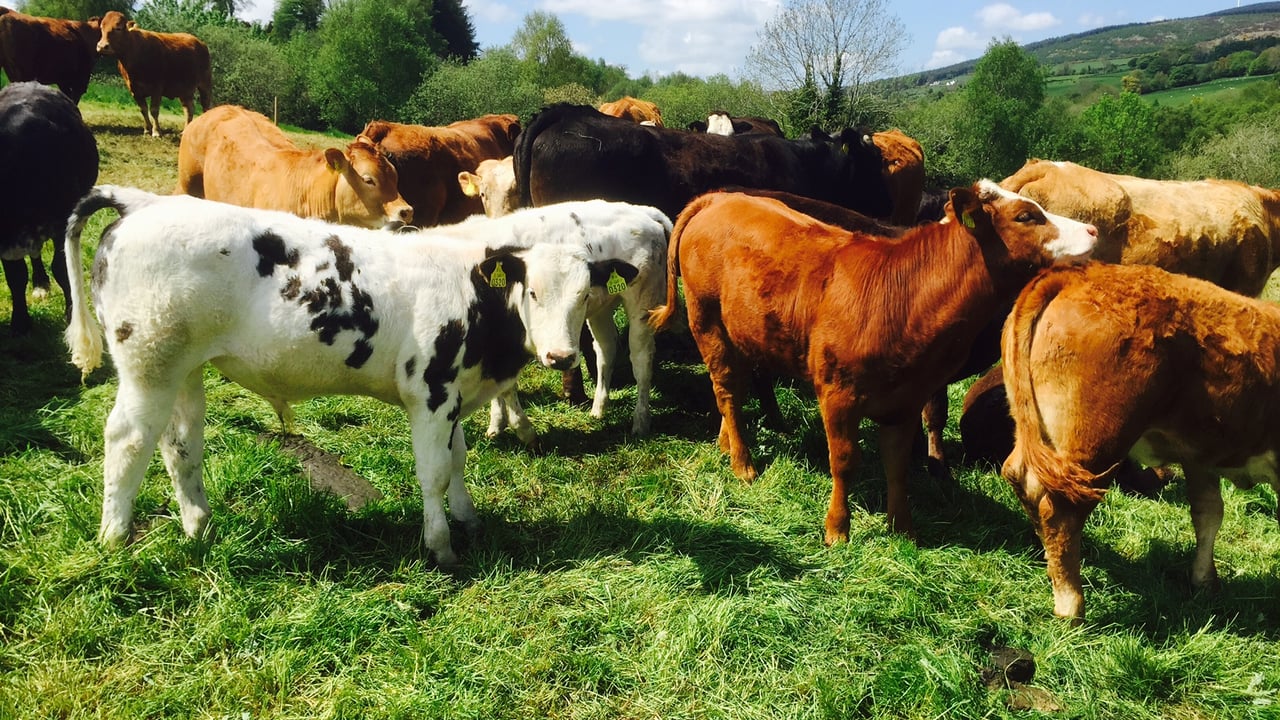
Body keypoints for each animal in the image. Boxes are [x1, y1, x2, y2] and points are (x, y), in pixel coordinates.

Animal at [0, 82, 97, 335]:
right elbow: (16, 276)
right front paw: (20, 322)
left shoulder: (64, 220)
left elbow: (62, 268)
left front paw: (72, 314)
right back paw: (40, 282)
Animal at [63, 186, 640, 566]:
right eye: (533, 291)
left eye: (584, 295)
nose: (561, 356)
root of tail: (144, 202)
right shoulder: (431, 392)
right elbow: (433, 472)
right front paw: (441, 546)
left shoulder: (454, 395)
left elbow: (457, 459)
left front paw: (469, 519)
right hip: (149, 366)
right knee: (127, 439)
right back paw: (115, 538)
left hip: (184, 369)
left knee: (180, 445)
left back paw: (199, 528)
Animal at [647, 183, 1097, 542]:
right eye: (1026, 216)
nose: (1093, 231)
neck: (904, 294)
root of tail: (719, 198)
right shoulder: (836, 394)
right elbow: (845, 462)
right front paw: (837, 529)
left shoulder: (906, 400)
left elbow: (897, 466)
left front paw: (903, 530)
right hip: (707, 323)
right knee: (725, 388)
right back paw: (743, 464)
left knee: (735, 392)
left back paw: (726, 443)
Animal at [1001, 262, 1280, 621]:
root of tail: (1079, 272)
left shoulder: (1199, 455)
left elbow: (1208, 512)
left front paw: (1204, 581)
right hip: (1096, 446)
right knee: (1061, 510)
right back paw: (1070, 604)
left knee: (1024, 481)